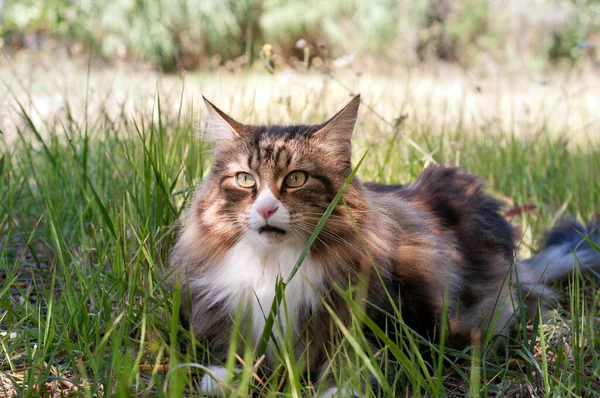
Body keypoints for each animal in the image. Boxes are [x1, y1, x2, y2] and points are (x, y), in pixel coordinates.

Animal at [165, 95, 600, 396]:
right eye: (245, 179)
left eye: (296, 179)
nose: (267, 207)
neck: (274, 265)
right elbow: (231, 342)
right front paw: (225, 376)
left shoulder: (373, 312)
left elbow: (354, 355)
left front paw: (341, 388)